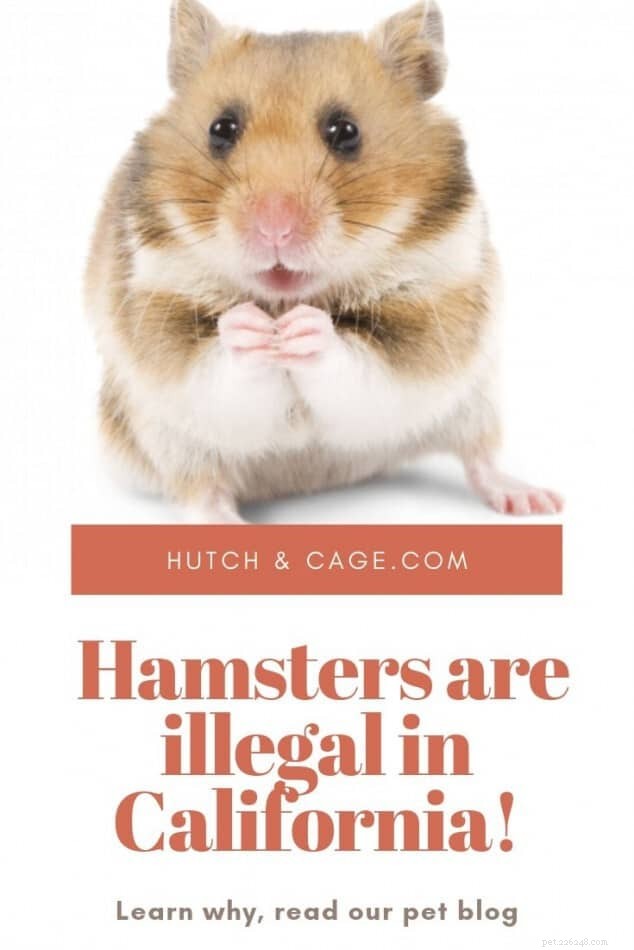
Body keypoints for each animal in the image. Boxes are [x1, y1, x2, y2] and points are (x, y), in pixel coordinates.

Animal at [85, 0, 563, 523]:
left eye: (345, 132)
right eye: (221, 129)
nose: (274, 228)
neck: (284, 298)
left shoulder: (431, 319)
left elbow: (358, 358)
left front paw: (302, 329)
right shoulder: (161, 333)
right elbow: (216, 367)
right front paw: (251, 327)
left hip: (476, 402)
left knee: (480, 455)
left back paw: (534, 500)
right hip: (164, 441)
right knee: (201, 491)